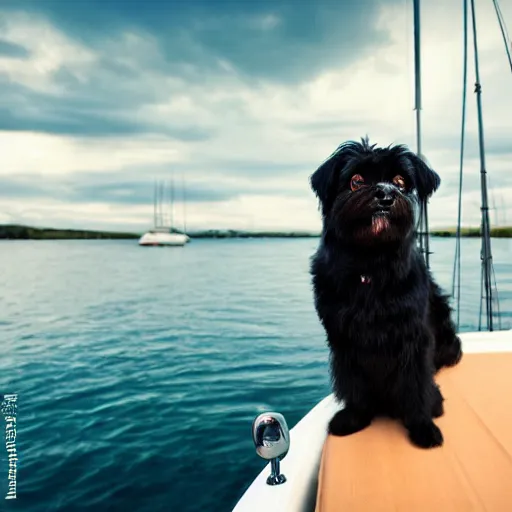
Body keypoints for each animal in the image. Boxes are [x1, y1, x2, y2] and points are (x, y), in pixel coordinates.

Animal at [310, 137, 462, 448]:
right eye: (356, 180)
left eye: (400, 181)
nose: (385, 193)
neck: (371, 264)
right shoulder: (344, 341)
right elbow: (354, 383)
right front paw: (355, 418)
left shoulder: (414, 338)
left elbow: (417, 384)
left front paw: (422, 426)